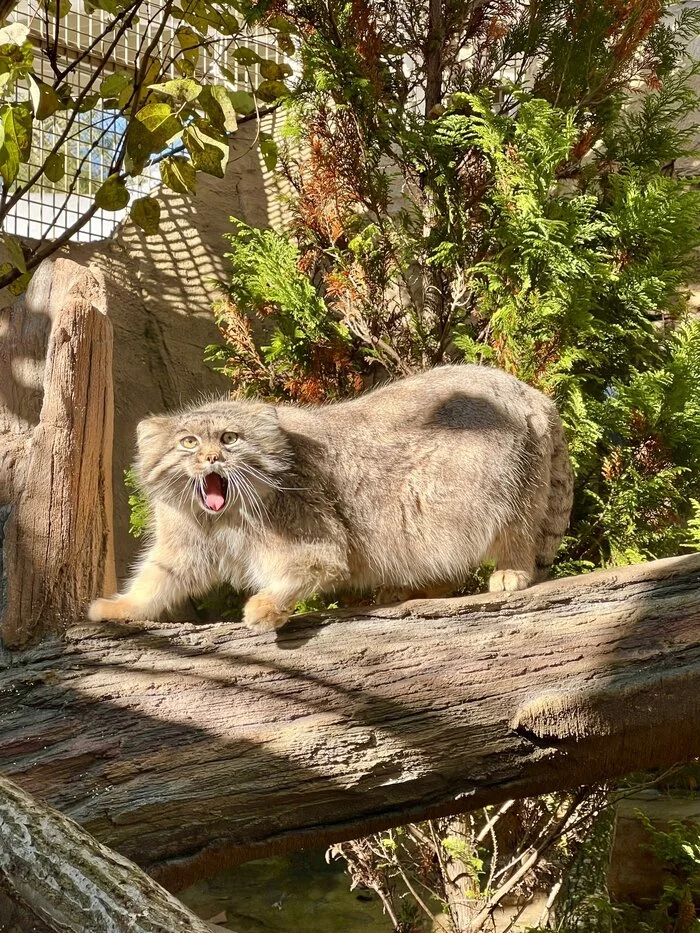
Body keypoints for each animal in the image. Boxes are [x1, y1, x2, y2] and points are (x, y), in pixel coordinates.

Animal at [87, 364, 572, 632]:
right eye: (187, 442)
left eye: (230, 438)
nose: (210, 458)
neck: (222, 518)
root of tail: (531, 392)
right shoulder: (183, 545)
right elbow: (155, 580)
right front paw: (120, 607)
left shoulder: (317, 544)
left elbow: (306, 570)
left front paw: (265, 607)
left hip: (490, 492)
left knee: (517, 532)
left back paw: (510, 572)